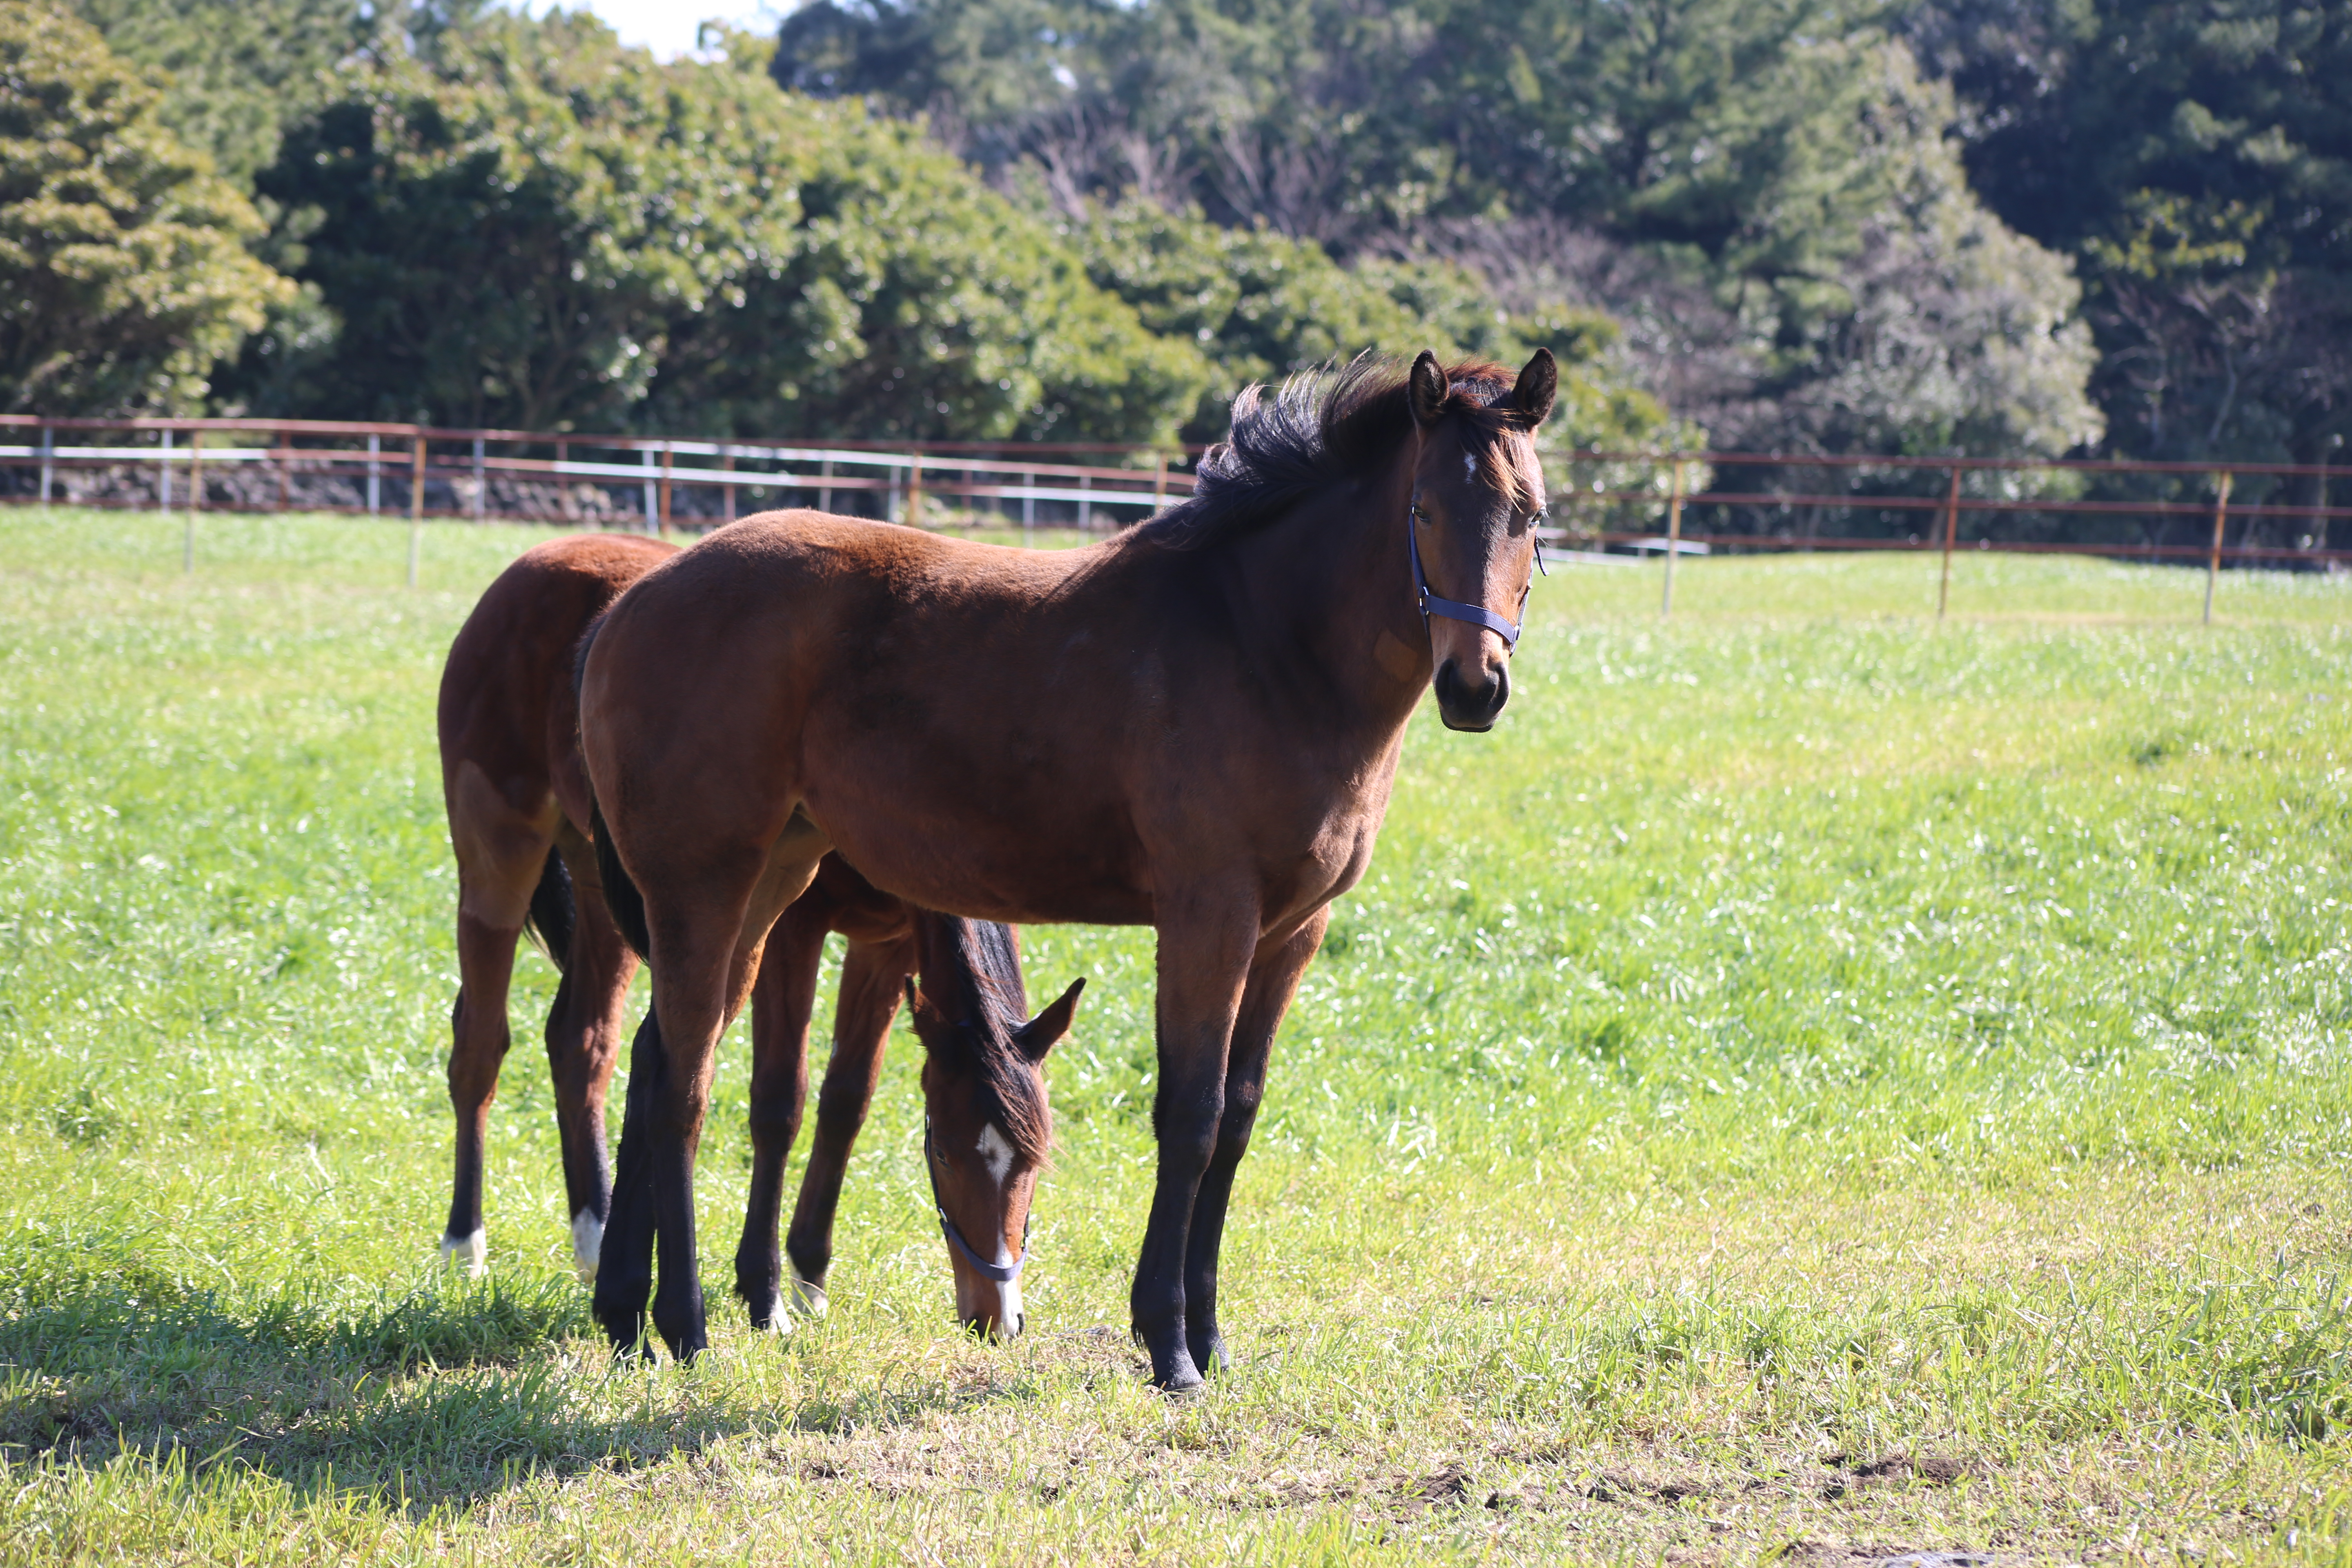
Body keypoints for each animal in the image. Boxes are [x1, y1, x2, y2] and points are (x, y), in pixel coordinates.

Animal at [437, 533, 1072, 1335]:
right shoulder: (792, 932)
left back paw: (595, 1234)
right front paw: (763, 1290)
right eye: (945, 1151)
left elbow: (846, 1101)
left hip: (607, 890)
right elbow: (780, 1101)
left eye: (1033, 1160)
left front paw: (808, 1272)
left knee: (583, 1040)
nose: (996, 1315)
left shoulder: (886, 949)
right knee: (481, 1041)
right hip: (500, 852)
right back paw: (465, 1246)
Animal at [578, 352, 1552, 1382]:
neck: (1265, 644)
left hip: (770, 884)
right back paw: (682, 1325)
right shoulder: (1209, 915)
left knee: (658, 1058)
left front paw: (1209, 1335)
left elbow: (1239, 1116)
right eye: (1423, 511)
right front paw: (1168, 1342)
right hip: (704, 888)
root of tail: (630, 602)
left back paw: (624, 1314)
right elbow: (1191, 1114)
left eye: (1530, 515)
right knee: (684, 1085)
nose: (1474, 687)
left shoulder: (1292, 930)